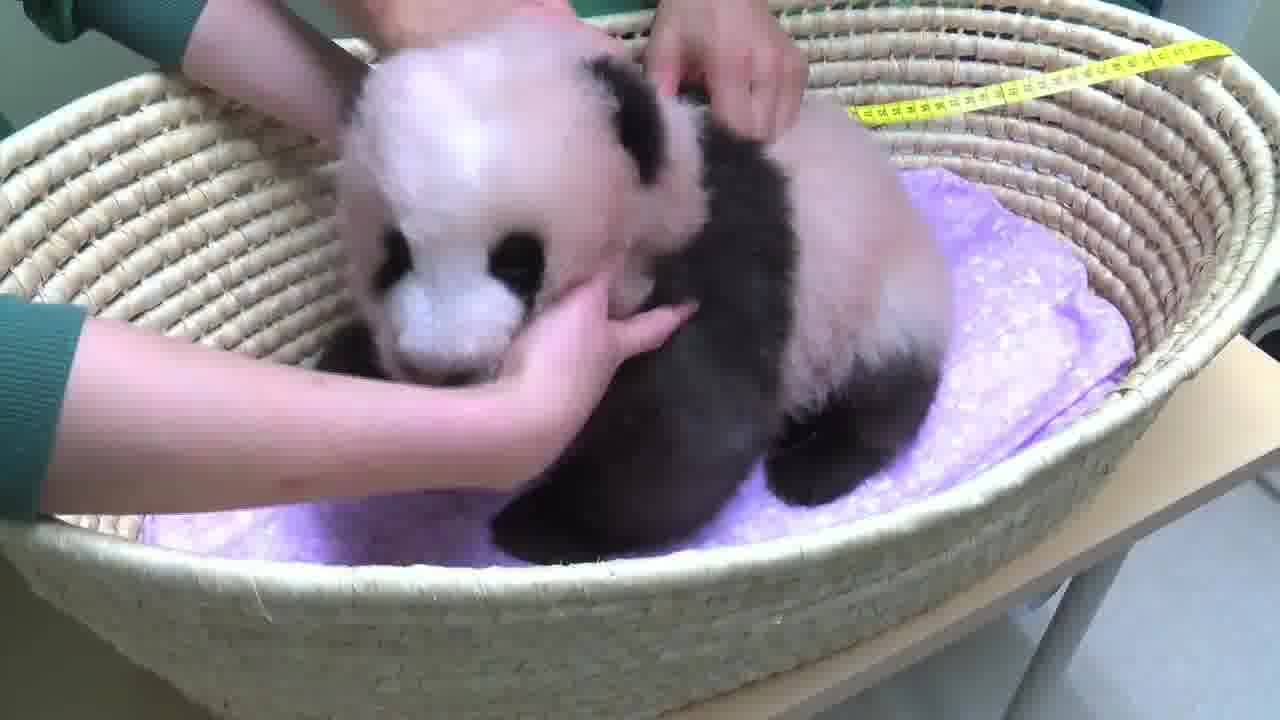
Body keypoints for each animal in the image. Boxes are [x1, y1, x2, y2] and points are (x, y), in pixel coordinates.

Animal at [318, 16, 954, 565]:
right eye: (395, 255)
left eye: (518, 262)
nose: (440, 366)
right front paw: (348, 360)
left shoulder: (712, 261)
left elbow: (689, 439)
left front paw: (540, 526)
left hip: (874, 296)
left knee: (882, 390)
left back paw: (812, 468)